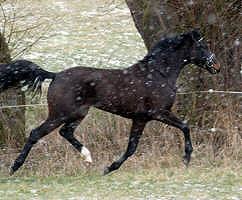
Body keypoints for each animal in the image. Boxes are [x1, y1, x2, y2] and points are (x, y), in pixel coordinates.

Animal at [0, 29, 219, 175]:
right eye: (202, 46)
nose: (216, 66)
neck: (158, 74)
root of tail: (55, 75)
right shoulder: (159, 113)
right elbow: (185, 126)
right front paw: (187, 158)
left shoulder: (140, 119)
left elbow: (131, 148)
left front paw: (109, 168)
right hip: (59, 114)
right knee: (36, 133)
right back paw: (14, 168)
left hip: (79, 113)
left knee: (66, 132)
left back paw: (87, 156)